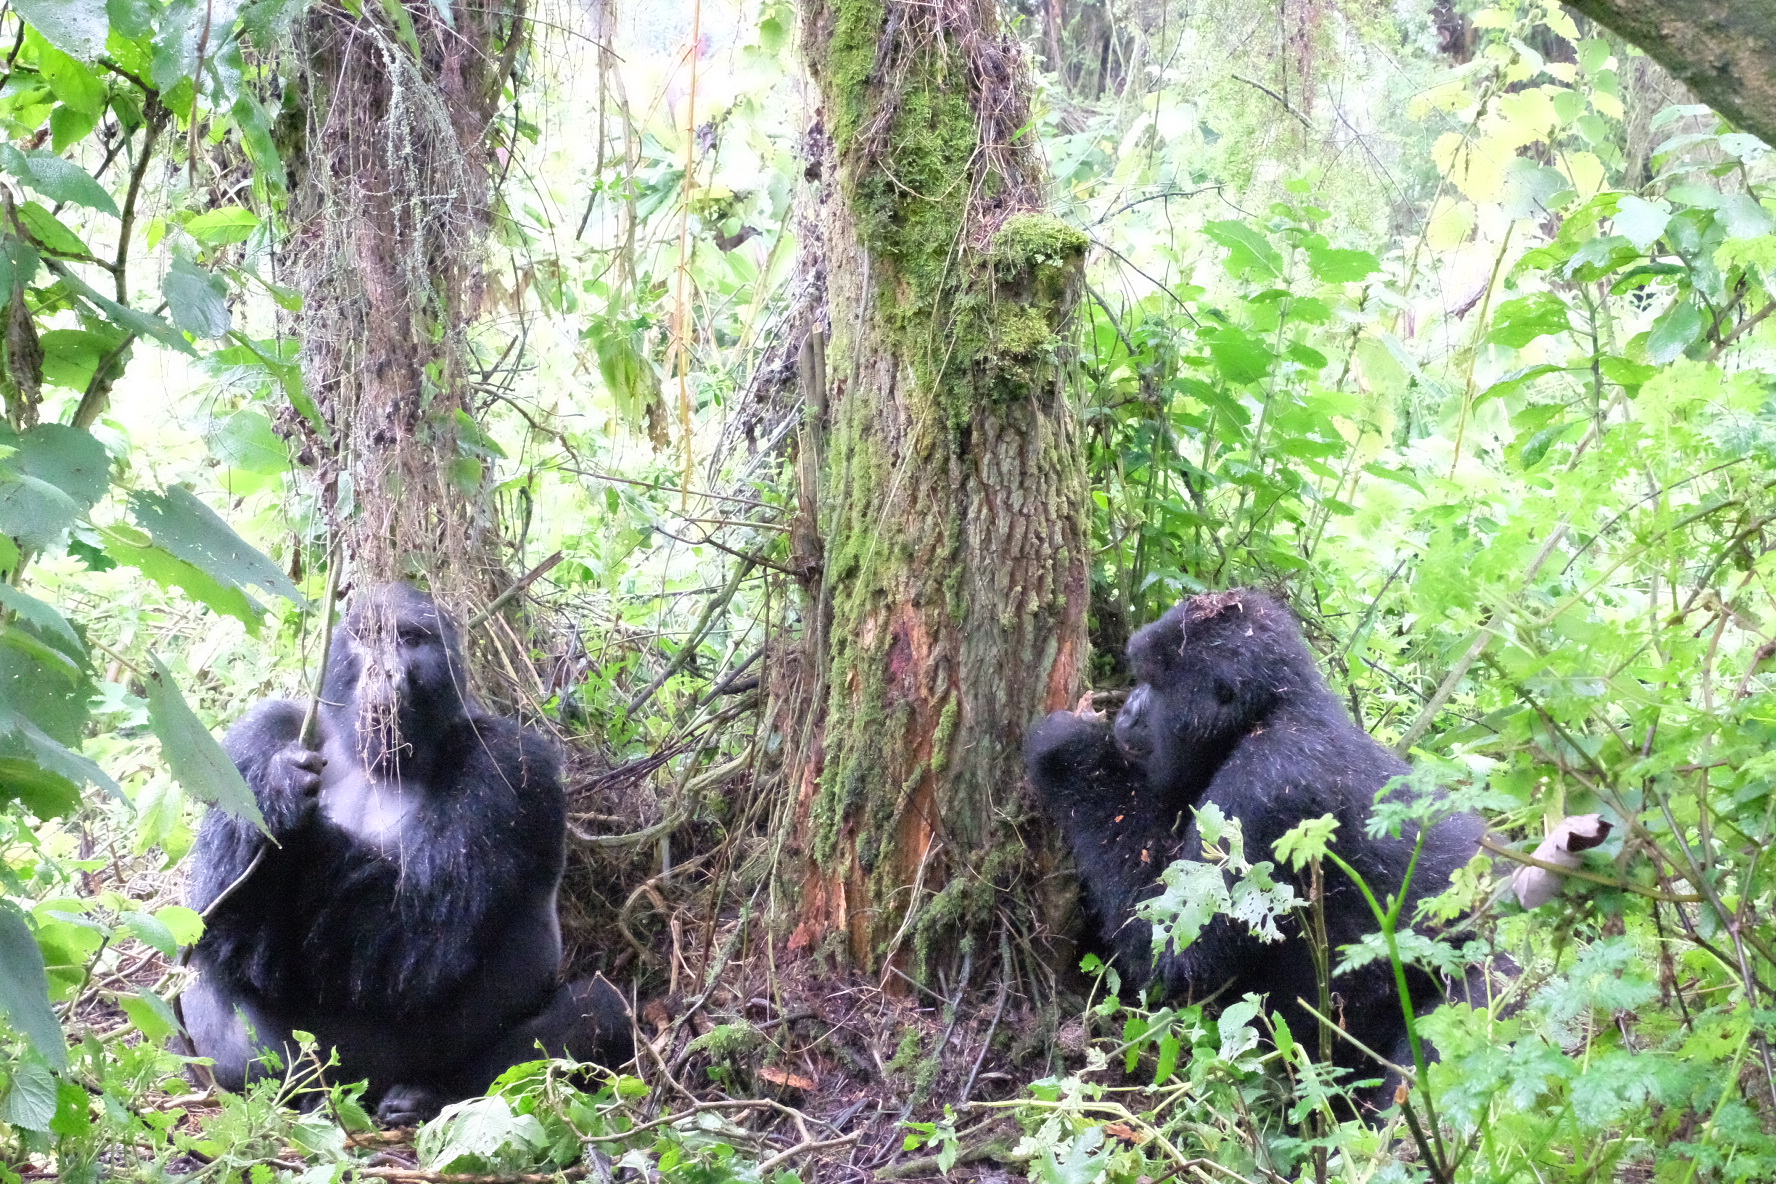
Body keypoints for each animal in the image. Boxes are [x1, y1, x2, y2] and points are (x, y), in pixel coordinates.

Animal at [185, 582, 632, 1121]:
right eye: (367, 640)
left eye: (410, 640)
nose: (385, 672)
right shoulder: (262, 729)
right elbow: (219, 915)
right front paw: (274, 797)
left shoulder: (508, 759)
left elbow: (412, 934)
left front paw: (285, 812)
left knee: (599, 1008)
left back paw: (430, 1095)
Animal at [1030, 592, 1484, 1093]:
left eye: (1156, 685)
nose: (1127, 709)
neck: (1267, 713)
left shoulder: (1266, 786)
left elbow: (1174, 957)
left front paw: (1068, 750)